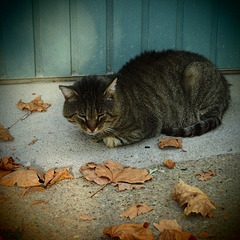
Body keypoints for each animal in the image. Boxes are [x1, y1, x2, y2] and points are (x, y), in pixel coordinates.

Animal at [59, 50, 230, 148]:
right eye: (82, 115)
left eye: (101, 114)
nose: (92, 127)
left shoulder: (151, 123)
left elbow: (119, 138)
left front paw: (107, 137)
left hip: (195, 73)